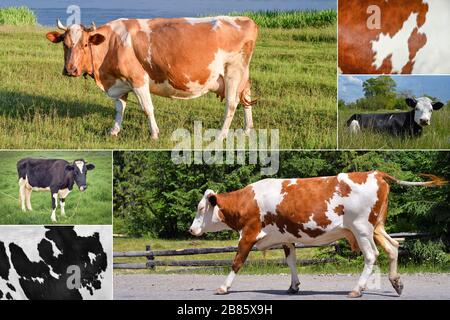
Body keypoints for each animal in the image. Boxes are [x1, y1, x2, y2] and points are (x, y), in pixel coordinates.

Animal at [46, 16, 258, 140]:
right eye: (65, 44)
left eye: (84, 44)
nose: (70, 69)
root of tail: (246, 19)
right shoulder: (119, 82)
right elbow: (119, 108)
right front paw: (114, 131)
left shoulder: (138, 78)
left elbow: (147, 108)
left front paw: (155, 134)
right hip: (243, 75)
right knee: (245, 98)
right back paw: (248, 129)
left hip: (233, 72)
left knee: (231, 103)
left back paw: (221, 135)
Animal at [189, 171, 446, 298]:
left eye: (201, 208)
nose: (191, 229)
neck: (247, 200)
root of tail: (375, 172)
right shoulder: (286, 237)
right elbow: (291, 261)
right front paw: (293, 287)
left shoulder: (248, 234)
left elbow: (237, 261)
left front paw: (223, 288)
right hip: (377, 226)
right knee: (393, 247)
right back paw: (396, 283)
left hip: (362, 228)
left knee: (372, 256)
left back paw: (357, 290)